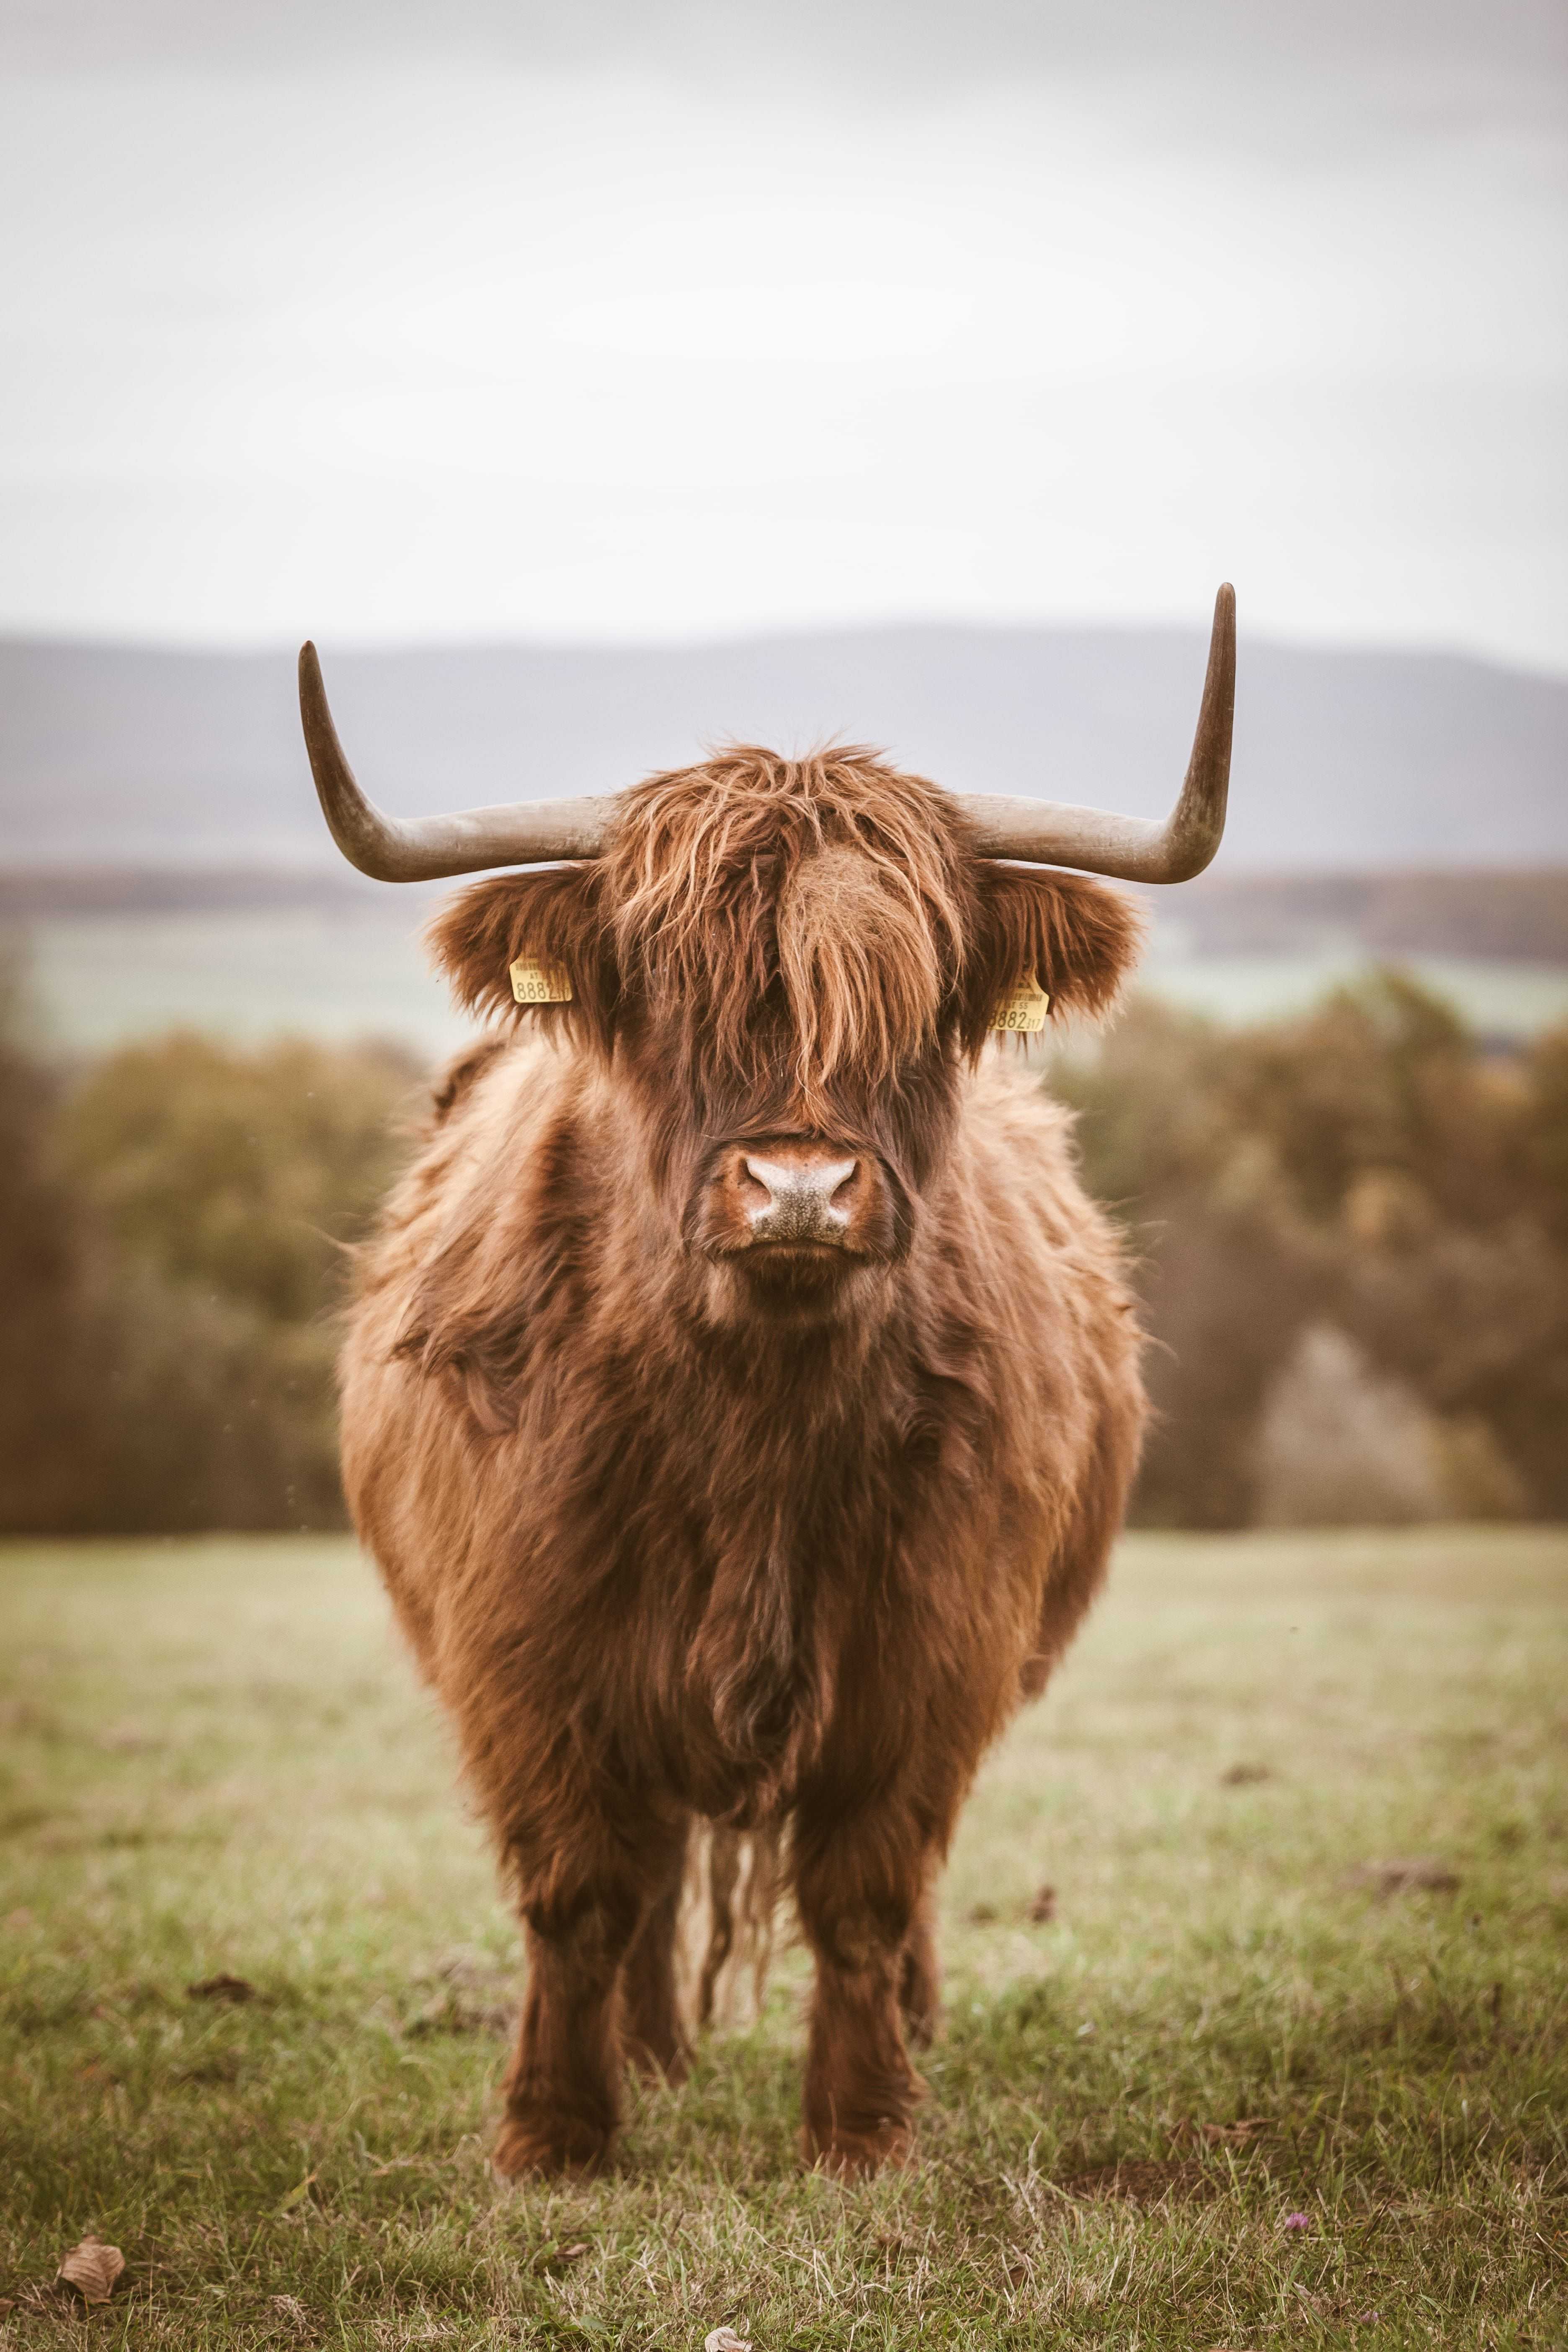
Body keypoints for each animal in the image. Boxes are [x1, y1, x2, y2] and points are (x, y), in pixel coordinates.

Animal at [297, 588, 1235, 2178]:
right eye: (669, 991)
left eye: (917, 999)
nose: (800, 1186)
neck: (753, 1419)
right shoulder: (528, 1649)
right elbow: (580, 1890)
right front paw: (556, 2131)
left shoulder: (934, 1648)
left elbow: (867, 1887)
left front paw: (863, 2126)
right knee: (656, 1865)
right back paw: (650, 2054)